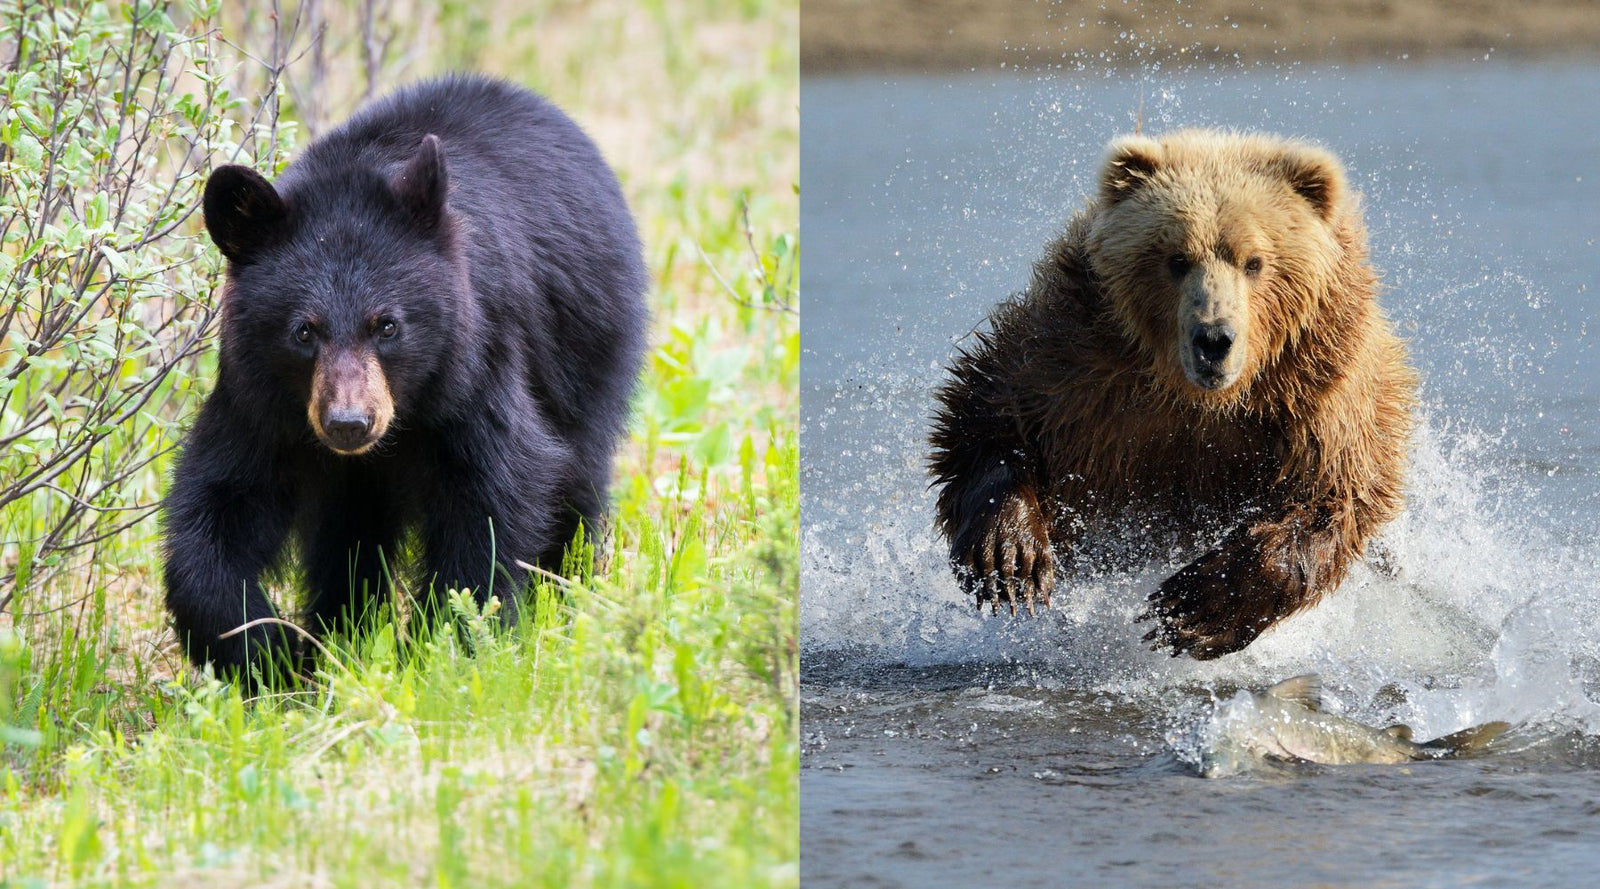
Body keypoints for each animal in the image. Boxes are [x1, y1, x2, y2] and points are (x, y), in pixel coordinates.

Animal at [163, 75, 648, 682]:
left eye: (387, 325)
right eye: (303, 332)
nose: (349, 423)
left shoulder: (474, 366)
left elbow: (493, 494)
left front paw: (446, 648)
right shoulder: (261, 400)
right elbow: (222, 501)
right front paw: (266, 651)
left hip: (585, 350)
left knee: (577, 480)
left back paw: (565, 599)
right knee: (348, 536)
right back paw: (338, 633)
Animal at [929, 129, 1415, 659]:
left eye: (1255, 261)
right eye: (1176, 259)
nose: (1214, 339)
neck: (1197, 397)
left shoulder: (1318, 390)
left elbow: (1331, 496)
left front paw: (1192, 608)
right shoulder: (1079, 358)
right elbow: (990, 413)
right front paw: (1012, 558)